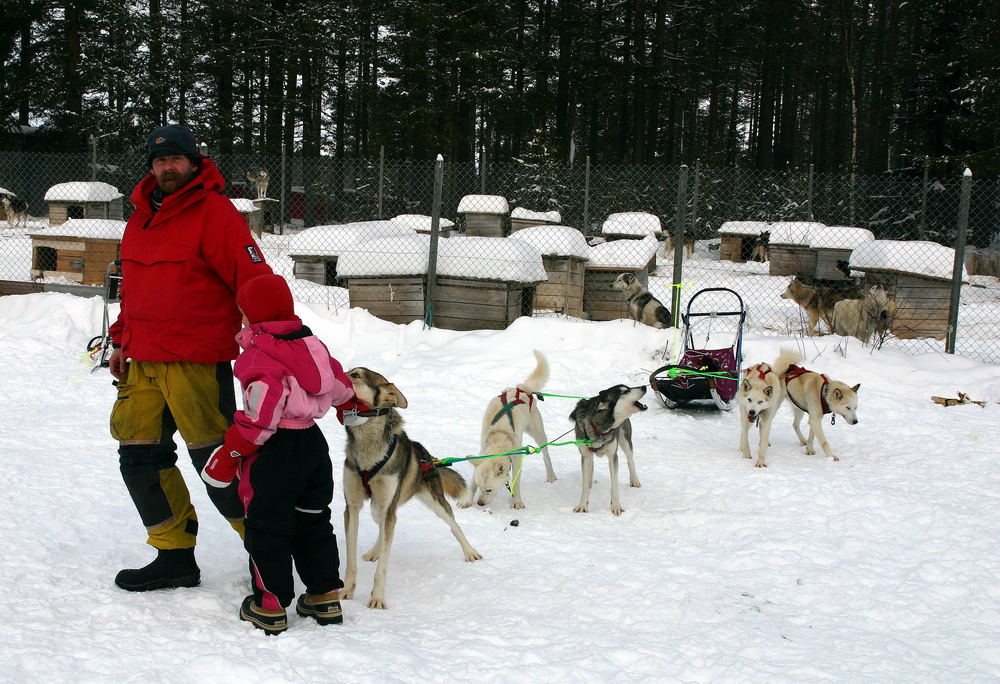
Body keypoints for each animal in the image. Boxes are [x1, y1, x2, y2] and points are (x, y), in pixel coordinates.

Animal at [342, 368, 482, 608]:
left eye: (356, 375)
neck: (368, 451)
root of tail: (428, 455)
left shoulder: (386, 508)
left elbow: (382, 568)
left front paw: (377, 598)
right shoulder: (352, 507)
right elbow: (351, 561)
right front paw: (345, 592)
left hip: (434, 503)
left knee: (454, 526)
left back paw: (469, 551)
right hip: (378, 508)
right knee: (382, 528)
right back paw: (374, 551)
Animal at [458, 352, 560, 508]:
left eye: (489, 489)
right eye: (480, 487)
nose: (480, 503)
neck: (499, 437)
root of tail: (522, 388)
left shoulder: (517, 459)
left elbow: (516, 483)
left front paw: (516, 501)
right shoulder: (481, 453)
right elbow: (472, 484)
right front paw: (467, 499)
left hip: (538, 434)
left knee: (546, 455)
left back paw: (551, 476)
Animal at [572, 382, 648, 516]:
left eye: (628, 388)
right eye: (624, 392)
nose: (644, 386)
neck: (599, 429)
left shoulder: (613, 456)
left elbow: (614, 485)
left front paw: (616, 506)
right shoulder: (585, 455)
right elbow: (585, 485)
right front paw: (582, 505)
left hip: (625, 441)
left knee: (630, 460)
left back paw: (634, 480)